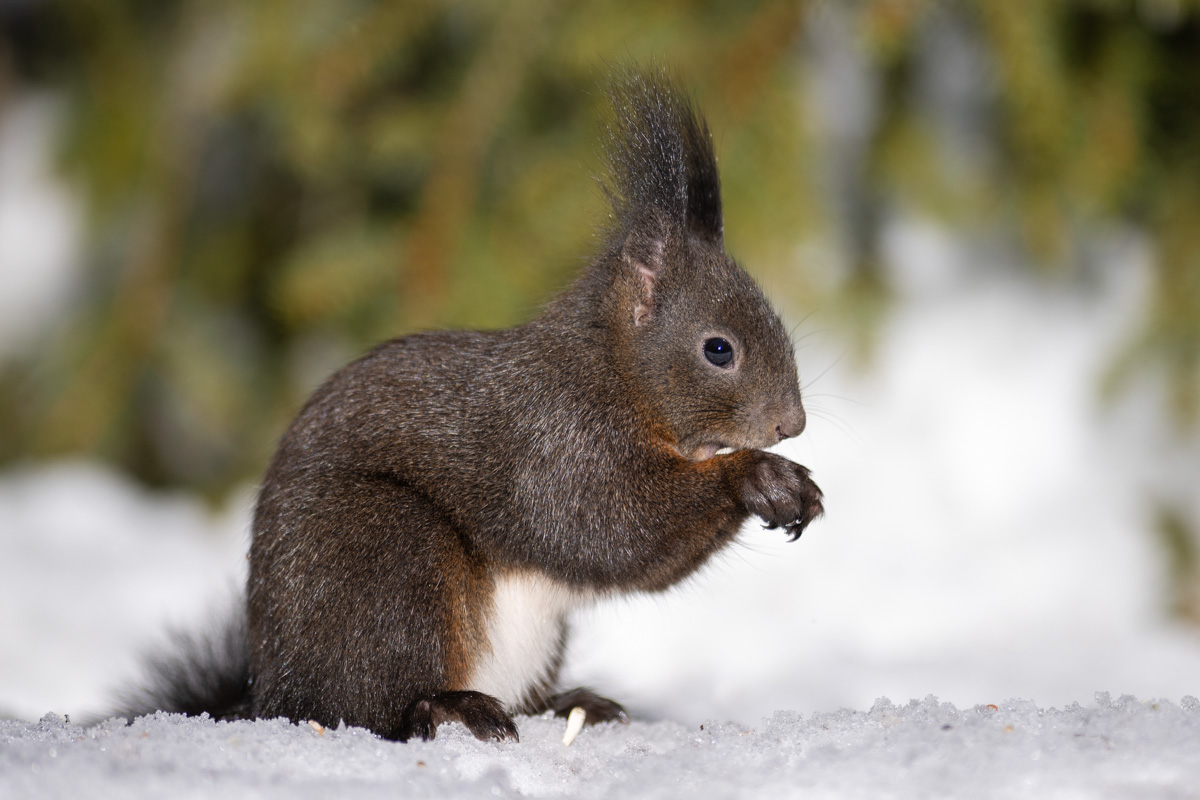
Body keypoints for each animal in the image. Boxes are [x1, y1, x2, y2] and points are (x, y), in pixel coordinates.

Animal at [112, 67, 820, 743]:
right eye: (719, 349)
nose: (792, 424)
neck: (612, 374)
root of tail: (271, 697)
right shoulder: (555, 440)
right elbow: (608, 527)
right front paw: (760, 476)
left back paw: (576, 704)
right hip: (389, 557)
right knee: (368, 707)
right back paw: (449, 707)